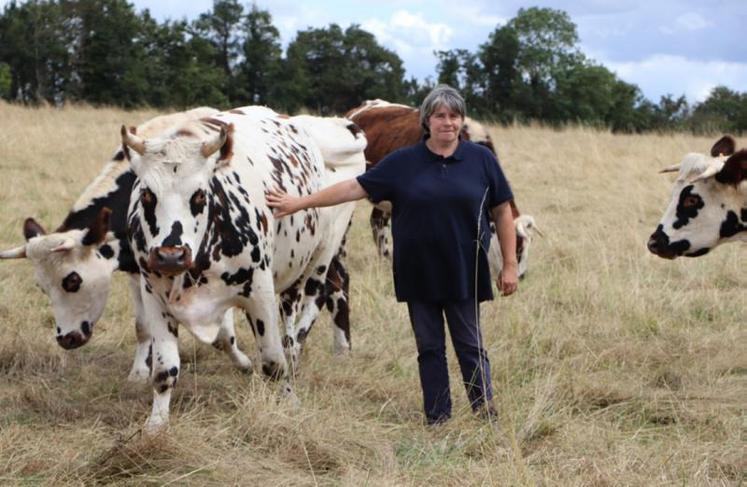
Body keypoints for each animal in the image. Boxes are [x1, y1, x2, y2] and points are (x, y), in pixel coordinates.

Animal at [0, 109, 254, 382]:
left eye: (73, 280)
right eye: (41, 287)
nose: (66, 339)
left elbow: (223, 332)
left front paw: (243, 362)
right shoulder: (139, 272)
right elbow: (142, 326)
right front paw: (139, 372)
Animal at [123, 105, 368, 428]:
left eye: (199, 194)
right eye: (147, 194)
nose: (170, 255)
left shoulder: (260, 292)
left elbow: (273, 362)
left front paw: (288, 401)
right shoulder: (153, 294)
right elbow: (166, 370)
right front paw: (156, 424)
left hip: (317, 260)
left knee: (303, 317)